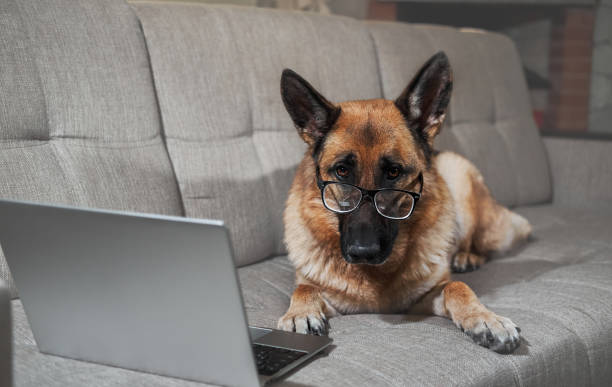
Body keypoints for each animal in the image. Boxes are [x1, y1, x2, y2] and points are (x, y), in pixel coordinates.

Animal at [278, 52, 532, 354]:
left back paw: (466, 257)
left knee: (480, 244)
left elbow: (456, 286)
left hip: (458, 172)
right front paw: (299, 313)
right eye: (341, 171)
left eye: (394, 172)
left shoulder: (424, 298)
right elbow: (304, 288)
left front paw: (485, 319)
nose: (363, 252)